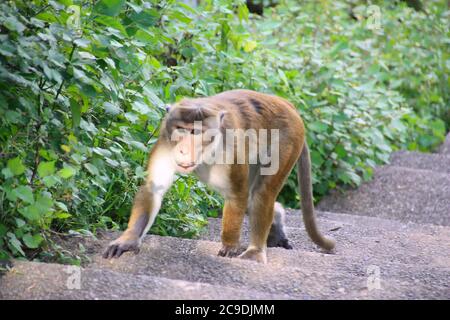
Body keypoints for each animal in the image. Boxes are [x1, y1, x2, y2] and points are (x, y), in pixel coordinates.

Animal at [102, 89, 334, 262]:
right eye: (180, 129)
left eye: (196, 132)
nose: (184, 150)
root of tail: (287, 104)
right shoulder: (166, 142)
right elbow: (153, 188)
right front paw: (128, 240)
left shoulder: (232, 149)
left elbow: (237, 195)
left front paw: (230, 245)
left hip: (288, 139)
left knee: (262, 193)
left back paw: (255, 251)